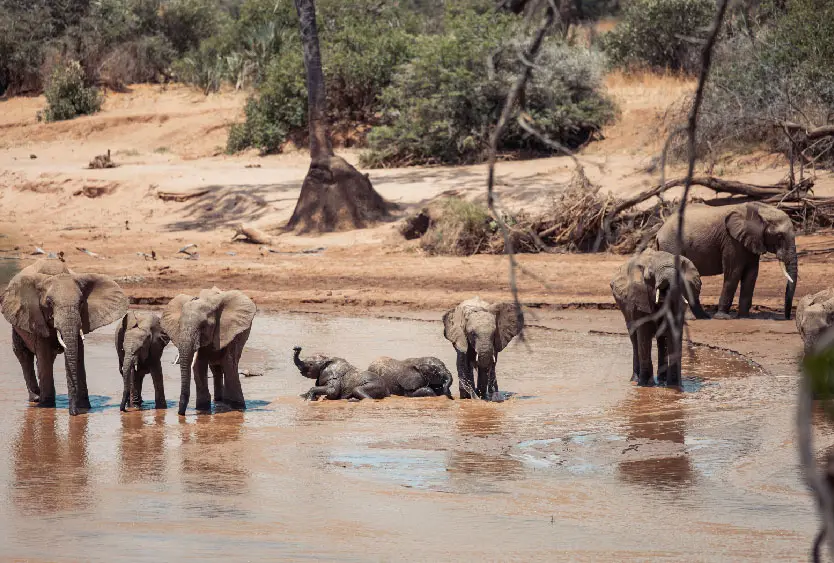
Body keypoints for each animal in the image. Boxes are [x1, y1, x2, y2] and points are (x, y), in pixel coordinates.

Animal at [1, 258, 128, 415]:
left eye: (81, 302)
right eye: (49, 303)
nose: (73, 412)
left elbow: (78, 353)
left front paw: (83, 407)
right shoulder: (37, 317)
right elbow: (44, 352)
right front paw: (47, 406)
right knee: (23, 354)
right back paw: (36, 398)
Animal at [161, 288, 256, 416]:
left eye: (204, 326)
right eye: (179, 325)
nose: (181, 414)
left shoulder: (229, 331)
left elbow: (229, 364)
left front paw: (238, 407)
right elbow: (199, 365)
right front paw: (202, 408)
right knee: (216, 370)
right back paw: (218, 400)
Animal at [610, 249, 709, 387]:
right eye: (650, 275)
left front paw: (674, 386)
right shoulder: (639, 294)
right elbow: (644, 332)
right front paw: (646, 385)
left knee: (661, 339)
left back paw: (662, 381)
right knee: (634, 338)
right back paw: (636, 380)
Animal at [655, 201, 797, 319]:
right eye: (779, 236)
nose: (787, 318)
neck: (760, 209)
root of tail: (659, 232)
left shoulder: (750, 241)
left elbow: (751, 274)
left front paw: (744, 318)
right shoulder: (731, 240)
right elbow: (733, 273)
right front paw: (723, 317)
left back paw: (701, 317)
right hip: (672, 246)